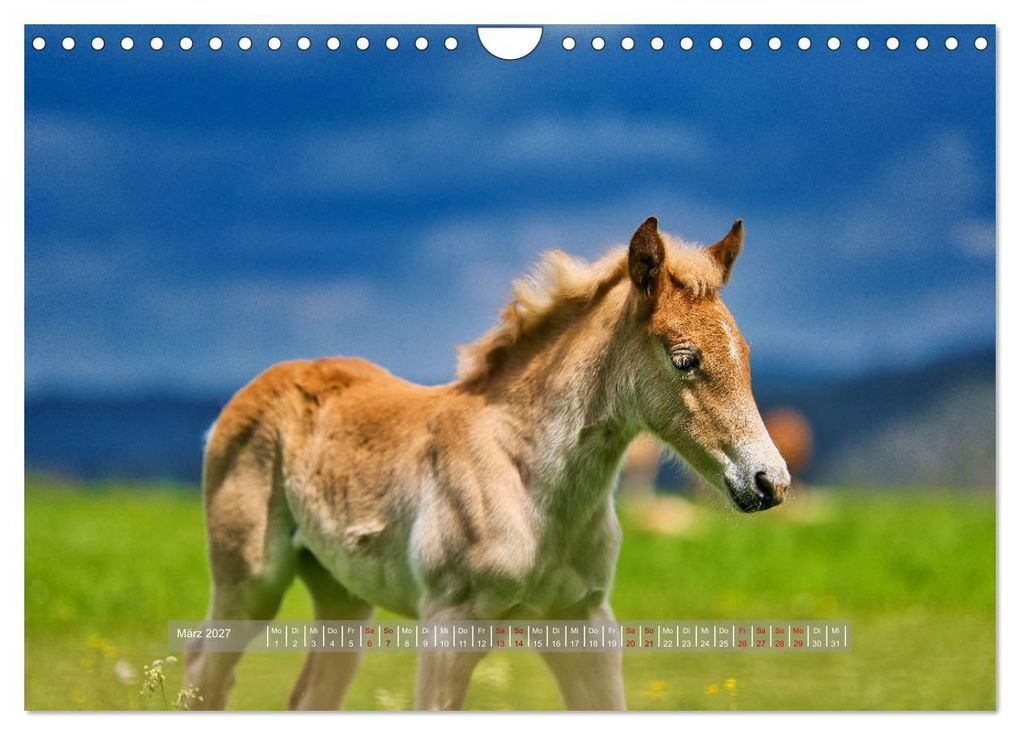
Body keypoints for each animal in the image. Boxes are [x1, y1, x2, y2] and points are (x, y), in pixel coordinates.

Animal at [184, 216, 790, 711]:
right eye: (685, 358)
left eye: (744, 354)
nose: (771, 482)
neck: (527, 483)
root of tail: (258, 386)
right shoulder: (449, 628)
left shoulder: (584, 625)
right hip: (249, 583)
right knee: (203, 670)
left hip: (344, 597)